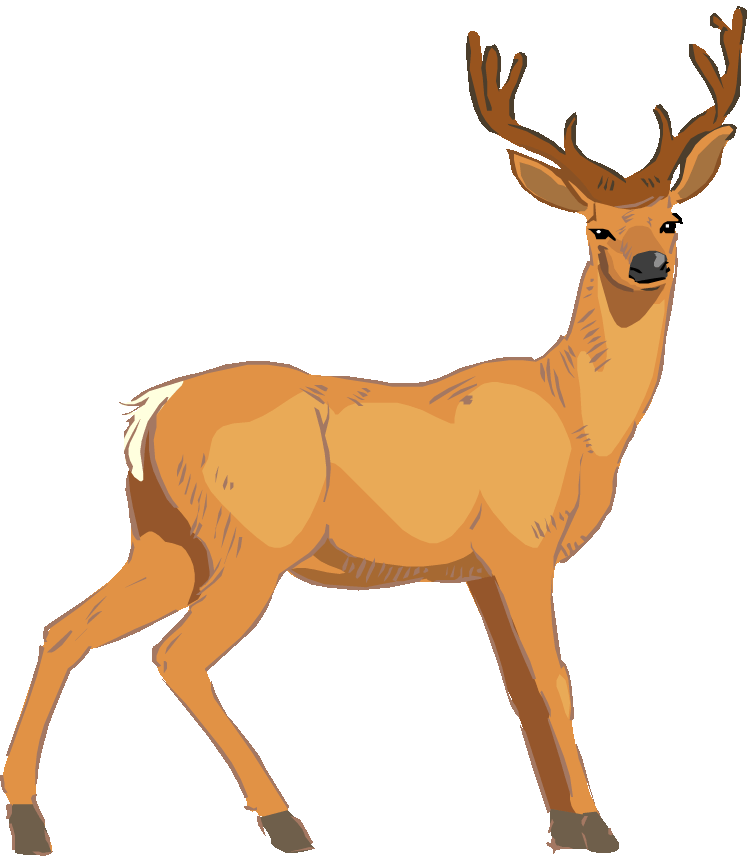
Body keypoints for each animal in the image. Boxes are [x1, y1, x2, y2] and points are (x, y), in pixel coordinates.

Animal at [3, 8, 745, 854]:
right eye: (594, 229)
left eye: (671, 219)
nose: (650, 263)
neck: (578, 419)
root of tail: (151, 411)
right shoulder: (523, 544)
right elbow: (556, 683)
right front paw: (594, 826)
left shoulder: (480, 569)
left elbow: (520, 690)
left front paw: (560, 823)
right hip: (248, 542)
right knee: (176, 654)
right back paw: (284, 817)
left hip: (166, 539)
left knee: (65, 628)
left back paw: (26, 818)